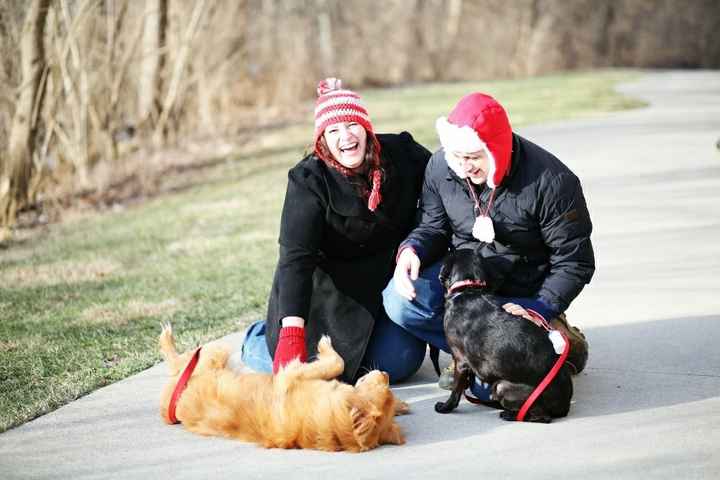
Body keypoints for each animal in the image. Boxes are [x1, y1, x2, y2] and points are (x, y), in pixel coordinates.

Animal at [434, 248, 572, 424]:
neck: (468, 291)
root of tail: (565, 405)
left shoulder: (460, 361)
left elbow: (456, 391)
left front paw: (445, 407)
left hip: (502, 387)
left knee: (541, 416)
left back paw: (509, 414)